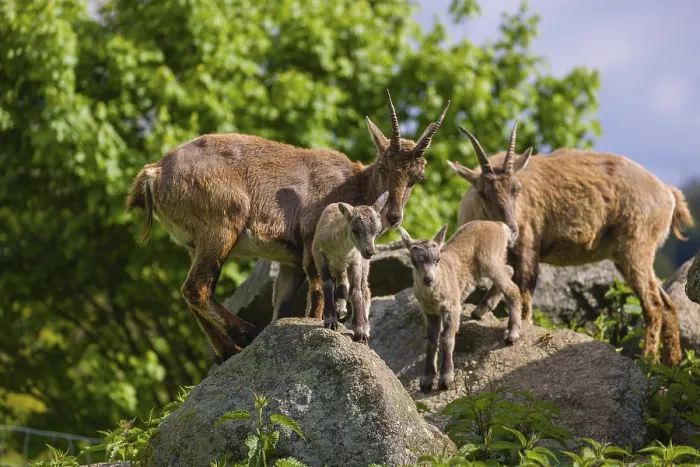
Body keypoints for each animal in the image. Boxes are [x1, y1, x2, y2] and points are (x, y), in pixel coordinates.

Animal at [312, 192, 388, 342]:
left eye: (377, 232)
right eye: (355, 230)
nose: (369, 252)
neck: (341, 249)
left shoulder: (356, 261)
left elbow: (356, 291)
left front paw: (360, 331)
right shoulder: (319, 255)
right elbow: (327, 284)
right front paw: (330, 321)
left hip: (363, 265)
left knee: (364, 290)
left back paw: (365, 324)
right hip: (338, 266)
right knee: (342, 281)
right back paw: (340, 308)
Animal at [400, 221, 520, 393]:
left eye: (437, 259)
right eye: (414, 262)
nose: (428, 279)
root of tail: (499, 225)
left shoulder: (452, 307)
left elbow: (446, 338)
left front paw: (446, 379)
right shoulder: (430, 312)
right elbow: (431, 341)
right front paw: (426, 380)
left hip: (488, 260)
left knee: (512, 288)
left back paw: (512, 333)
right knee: (509, 270)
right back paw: (480, 310)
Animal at [447, 120, 694, 365]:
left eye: (517, 189)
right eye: (482, 192)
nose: (512, 228)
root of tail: (668, 194)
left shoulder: (529, 247)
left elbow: (524, 292)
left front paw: (518, 328)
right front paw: (480, 311)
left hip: (636, 247)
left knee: (653, 305)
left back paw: (647, 361)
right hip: (626, 255)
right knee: (667, 303)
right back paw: (671, 364)